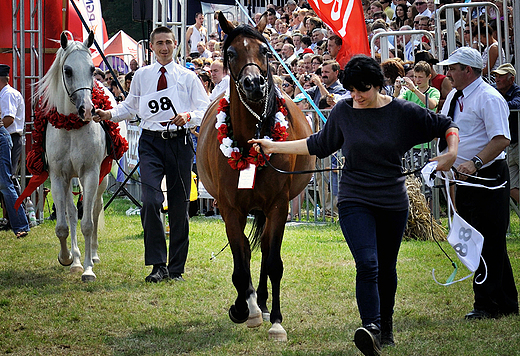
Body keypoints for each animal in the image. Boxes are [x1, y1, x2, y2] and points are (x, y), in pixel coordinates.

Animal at [198, 12, 312, 340]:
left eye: (264, 50)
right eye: (231, 53)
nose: (253, 84)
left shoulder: (279, 206)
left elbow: (273, 262)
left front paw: (276, 321)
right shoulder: (229, 209)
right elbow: (241, 260)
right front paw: (243, 307)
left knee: (265, 252)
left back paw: (262, 302)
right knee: (250, 253)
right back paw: (252, 303)